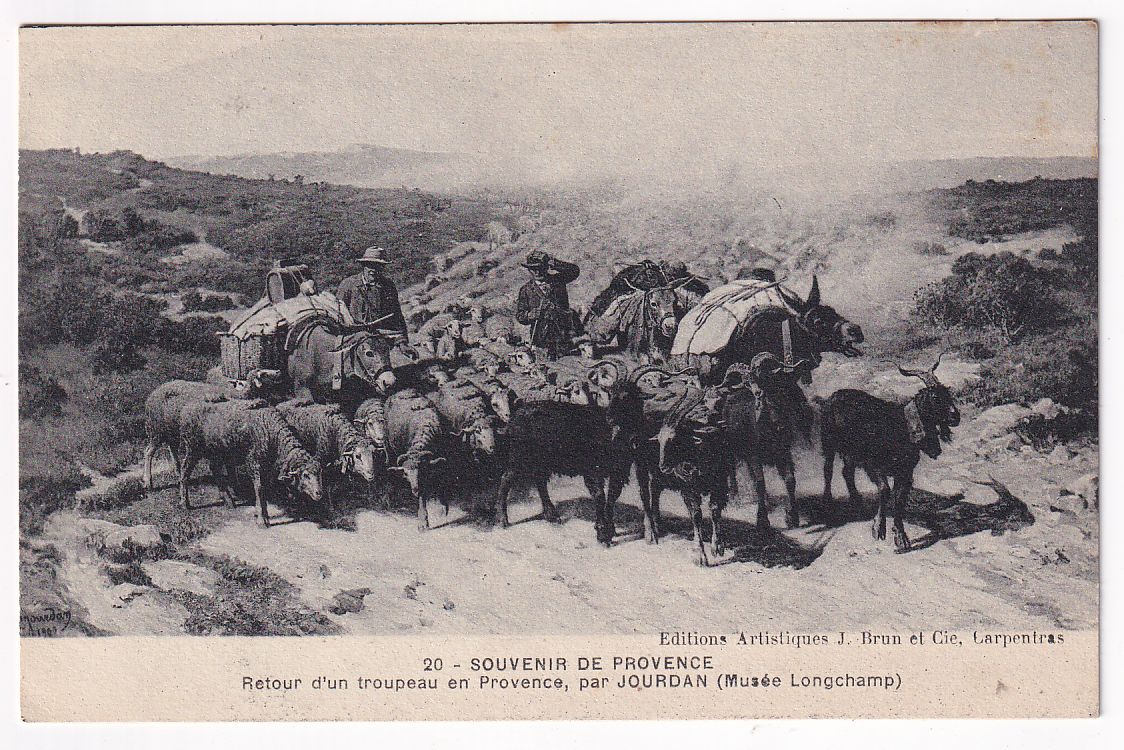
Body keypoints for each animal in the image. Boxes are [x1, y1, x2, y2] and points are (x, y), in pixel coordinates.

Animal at [822, 355, 962, 555]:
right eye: (935, 397)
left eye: (948, 393)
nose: (955, 416)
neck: (902, 426)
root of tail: (834, 395)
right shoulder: (875, 466)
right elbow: (885, 491)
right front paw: (878, 528)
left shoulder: (905, 472)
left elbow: (899, 500)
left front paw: (901, 537)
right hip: (828, 442)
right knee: (828, 470)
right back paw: (828, 504)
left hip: (852, 452)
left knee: (847, 472)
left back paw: (857, 501)